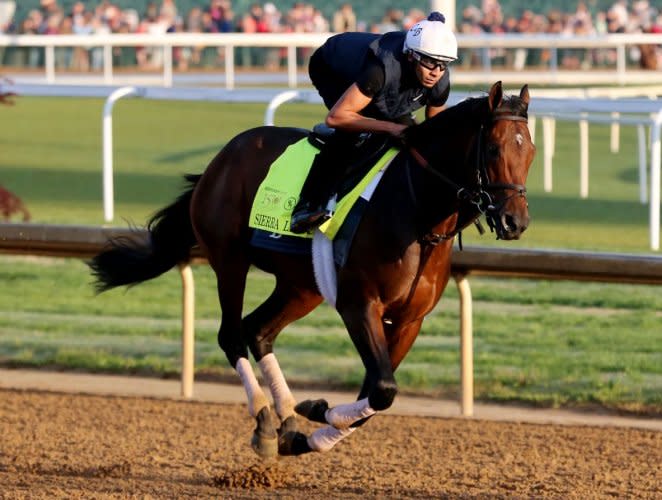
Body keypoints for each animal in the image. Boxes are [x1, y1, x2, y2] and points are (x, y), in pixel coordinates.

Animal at [89, 81, 536, 458]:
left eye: (529, 151)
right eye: (493, 150)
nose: (515, 221)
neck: (418, 215)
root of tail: (219, 161)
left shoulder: (411, 320)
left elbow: (376, 394)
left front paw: (310, 424)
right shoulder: (359, 304)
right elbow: (382, 389)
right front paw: (317, 413)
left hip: (302, 285)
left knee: (258, 330)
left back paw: (287, 416)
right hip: (230, 260)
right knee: (231, 334)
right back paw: (266, 418)